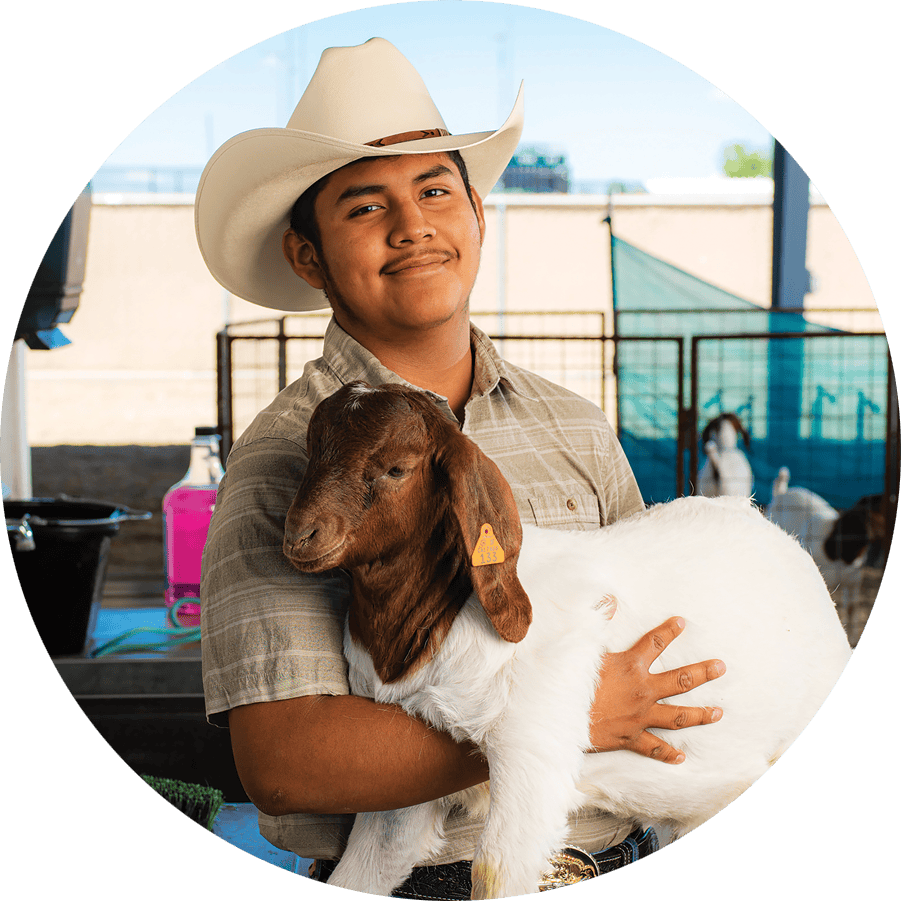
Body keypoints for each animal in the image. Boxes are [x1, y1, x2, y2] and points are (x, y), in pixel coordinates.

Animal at [282, 382, 852, 900]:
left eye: (397, 468)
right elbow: (362, 868)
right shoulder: (401, 789)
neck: (440, 615)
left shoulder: (532, 747)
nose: (299, 536)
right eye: (310, 450)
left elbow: (494, 872)